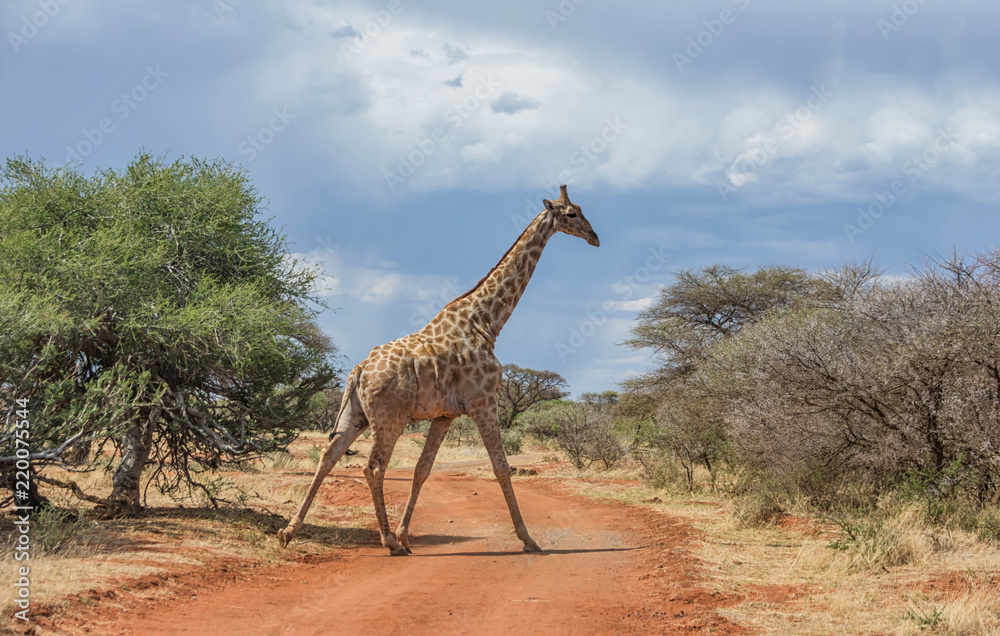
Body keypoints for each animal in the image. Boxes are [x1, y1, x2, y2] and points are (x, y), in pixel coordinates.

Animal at [277, 185, 599, 555]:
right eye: (572, 214)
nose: (595, 237)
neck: (487, 322)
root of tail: (358, 371)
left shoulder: (445, 415)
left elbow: (422, 469)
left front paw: (405, 533)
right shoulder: (484, 402)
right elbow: (501, 468)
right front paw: (528, 539)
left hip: (355, 415)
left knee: (328, 456)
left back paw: (290, 530)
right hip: (389, 419)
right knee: (373, 467)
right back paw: (387, 541)